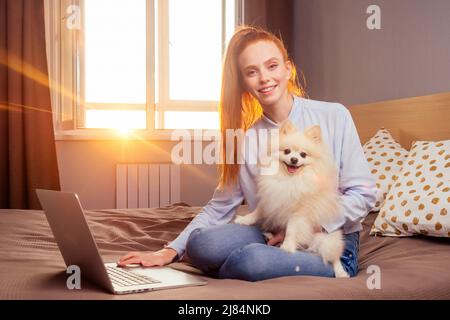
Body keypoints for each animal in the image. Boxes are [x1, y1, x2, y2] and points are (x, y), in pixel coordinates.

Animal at [234, 120, 350, 278]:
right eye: (287, 151)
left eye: (303, 154)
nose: (294, 159)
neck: (289, 180)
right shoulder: (270, 198)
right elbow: (257, 212)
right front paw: (244, 220)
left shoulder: (299, 213)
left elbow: (291, 229)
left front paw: (287, 245)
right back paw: (269, 236)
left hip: (328, 240)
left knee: (334, 257)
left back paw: (341, 273)